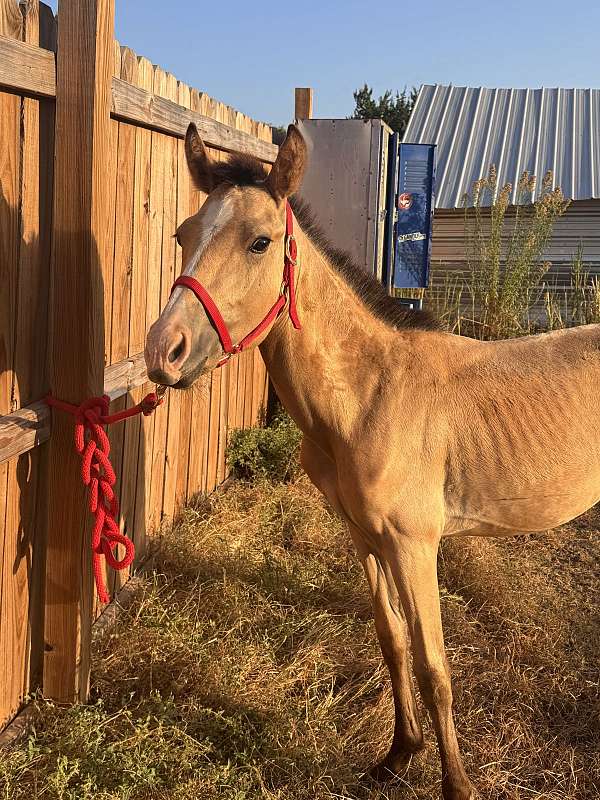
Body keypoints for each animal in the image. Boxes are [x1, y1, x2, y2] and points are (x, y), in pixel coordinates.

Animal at [144, 123, 600, 800]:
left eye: (260, 242)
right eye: (184, 235)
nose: (162, 351)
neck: (368, 395)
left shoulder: (415, 546)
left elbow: (435, 667)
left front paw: (454, 784)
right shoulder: (365, 537)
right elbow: (391, 641)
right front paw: (398, 754)